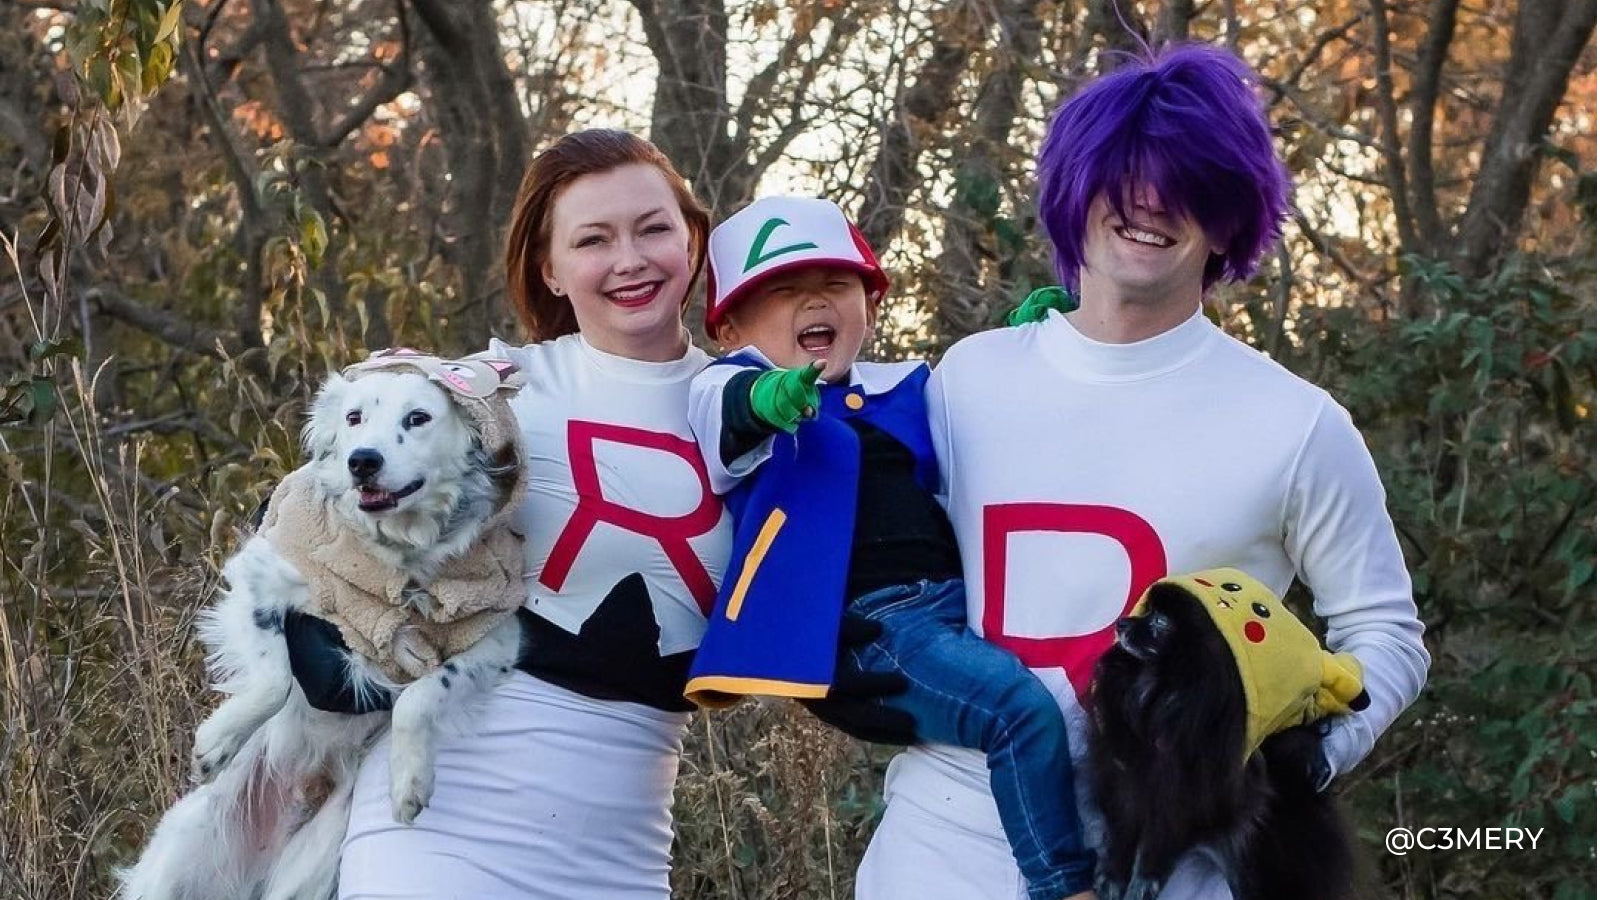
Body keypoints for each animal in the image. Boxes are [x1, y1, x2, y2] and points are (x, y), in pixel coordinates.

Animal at [121, 349, 531, 896]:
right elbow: (275, 678)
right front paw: (217, 742)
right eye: (353, 417)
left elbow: (422, 696)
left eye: (418, 418)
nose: (363, 460)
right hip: (184, 857)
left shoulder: (492, 636)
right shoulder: (263, 574)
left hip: (313, 867)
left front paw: (410, 779)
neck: (397, 555)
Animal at [1094, 576, 1369, 890]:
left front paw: (1145, 875)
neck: (1163, 688)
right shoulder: (1123, 771)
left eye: (1160, 621)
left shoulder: (1193, 794)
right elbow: (1123, 825)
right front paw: (1113, 873)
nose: (1122, 623)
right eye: (1147, 611)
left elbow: (1162, 834)